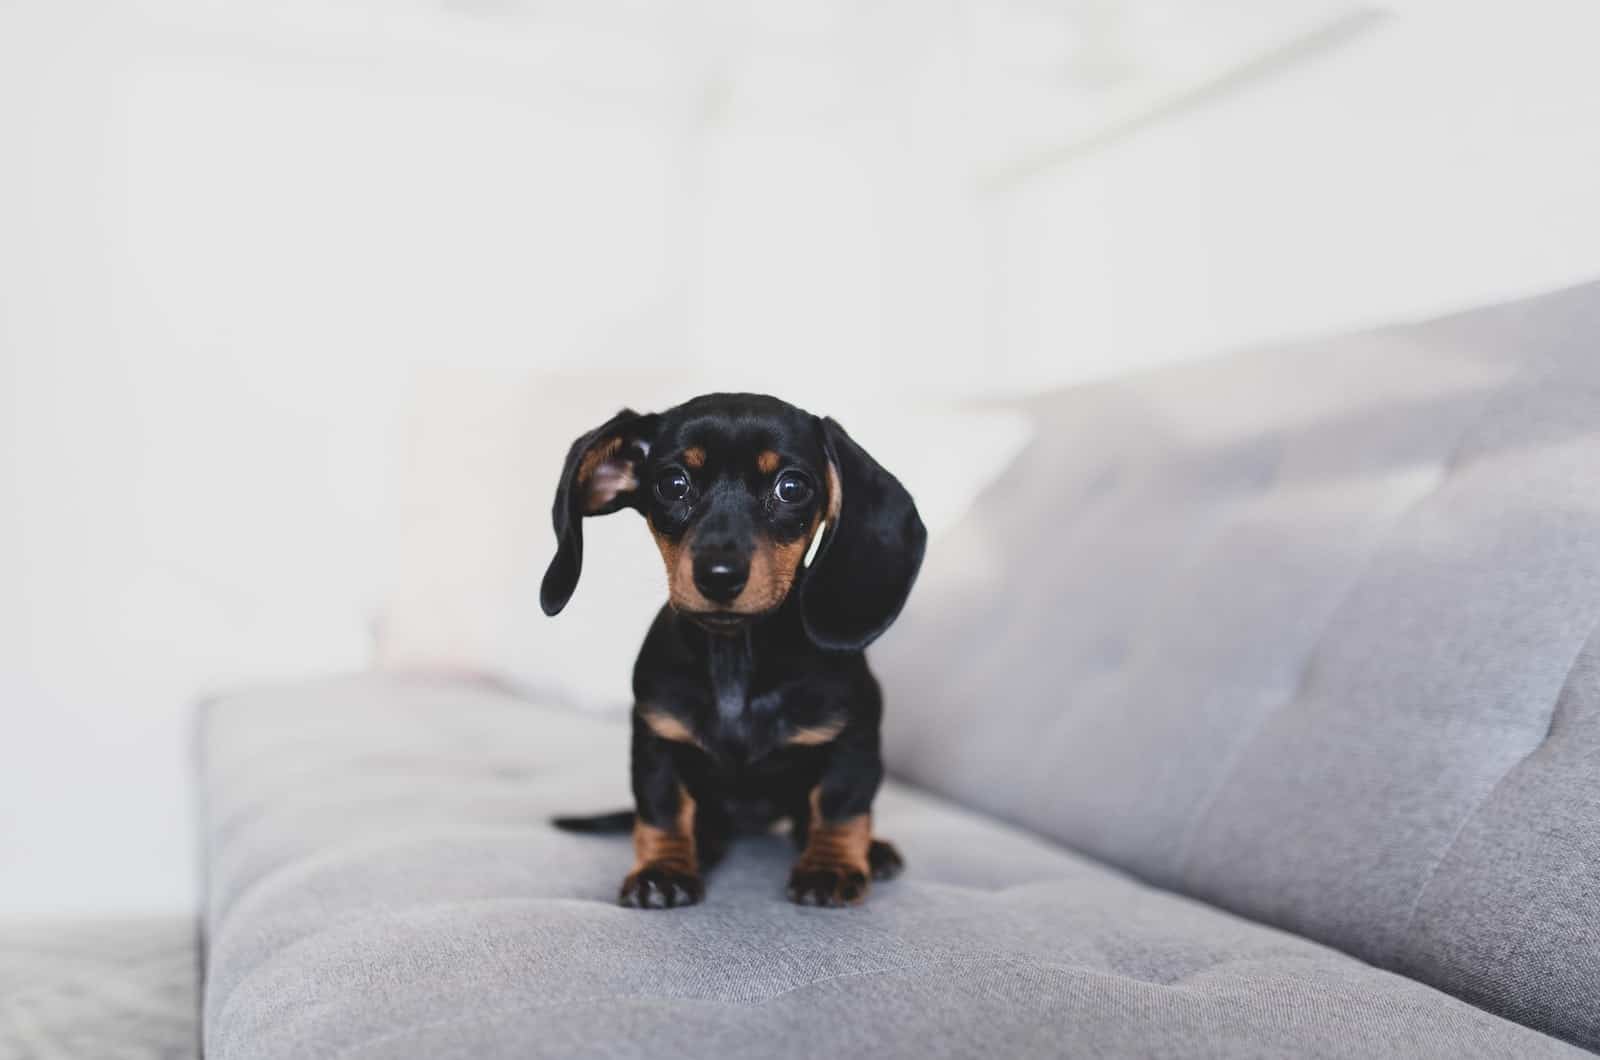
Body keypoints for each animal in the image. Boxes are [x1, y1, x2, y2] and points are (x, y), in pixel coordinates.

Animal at [547, 393, 928, 909]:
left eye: (792, 487)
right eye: (672, 484)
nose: (719, 575)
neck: (737, 662)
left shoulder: (854, 736)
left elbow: (840, 805)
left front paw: (829, 867)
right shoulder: (655, 737)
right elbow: (663, 808)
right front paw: (663, 870)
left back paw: (874, 851)